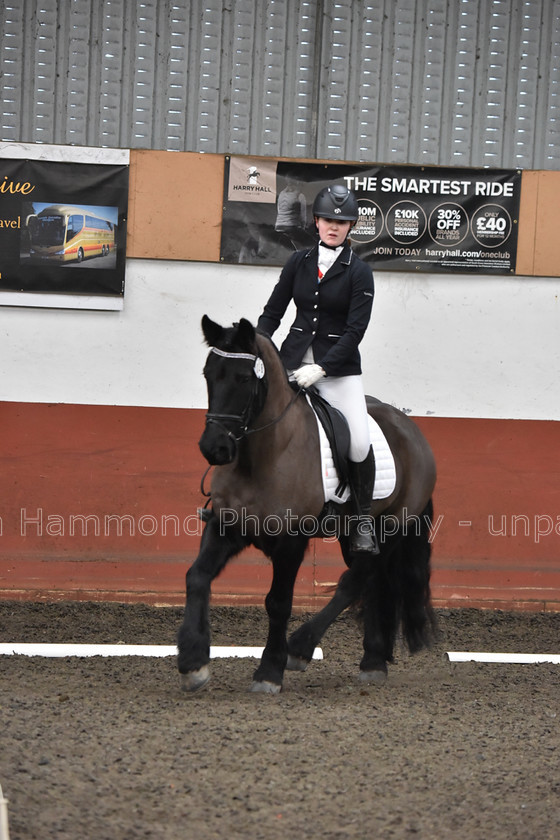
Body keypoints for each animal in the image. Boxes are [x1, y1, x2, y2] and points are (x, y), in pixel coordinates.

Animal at [179, 318, 438, 692]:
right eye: (208, 374)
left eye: (244, 378)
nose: (214, 448)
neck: (264, 456)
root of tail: (412, 430)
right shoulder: (227, 526)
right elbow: (197, 576)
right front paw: (193, 662)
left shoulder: (291, 542)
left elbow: (278, 602)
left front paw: (269, 672)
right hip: (352, 534)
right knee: (370, 581)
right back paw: (373, 660)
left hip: (391, 527)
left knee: (356, 580)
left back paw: (301, 648)